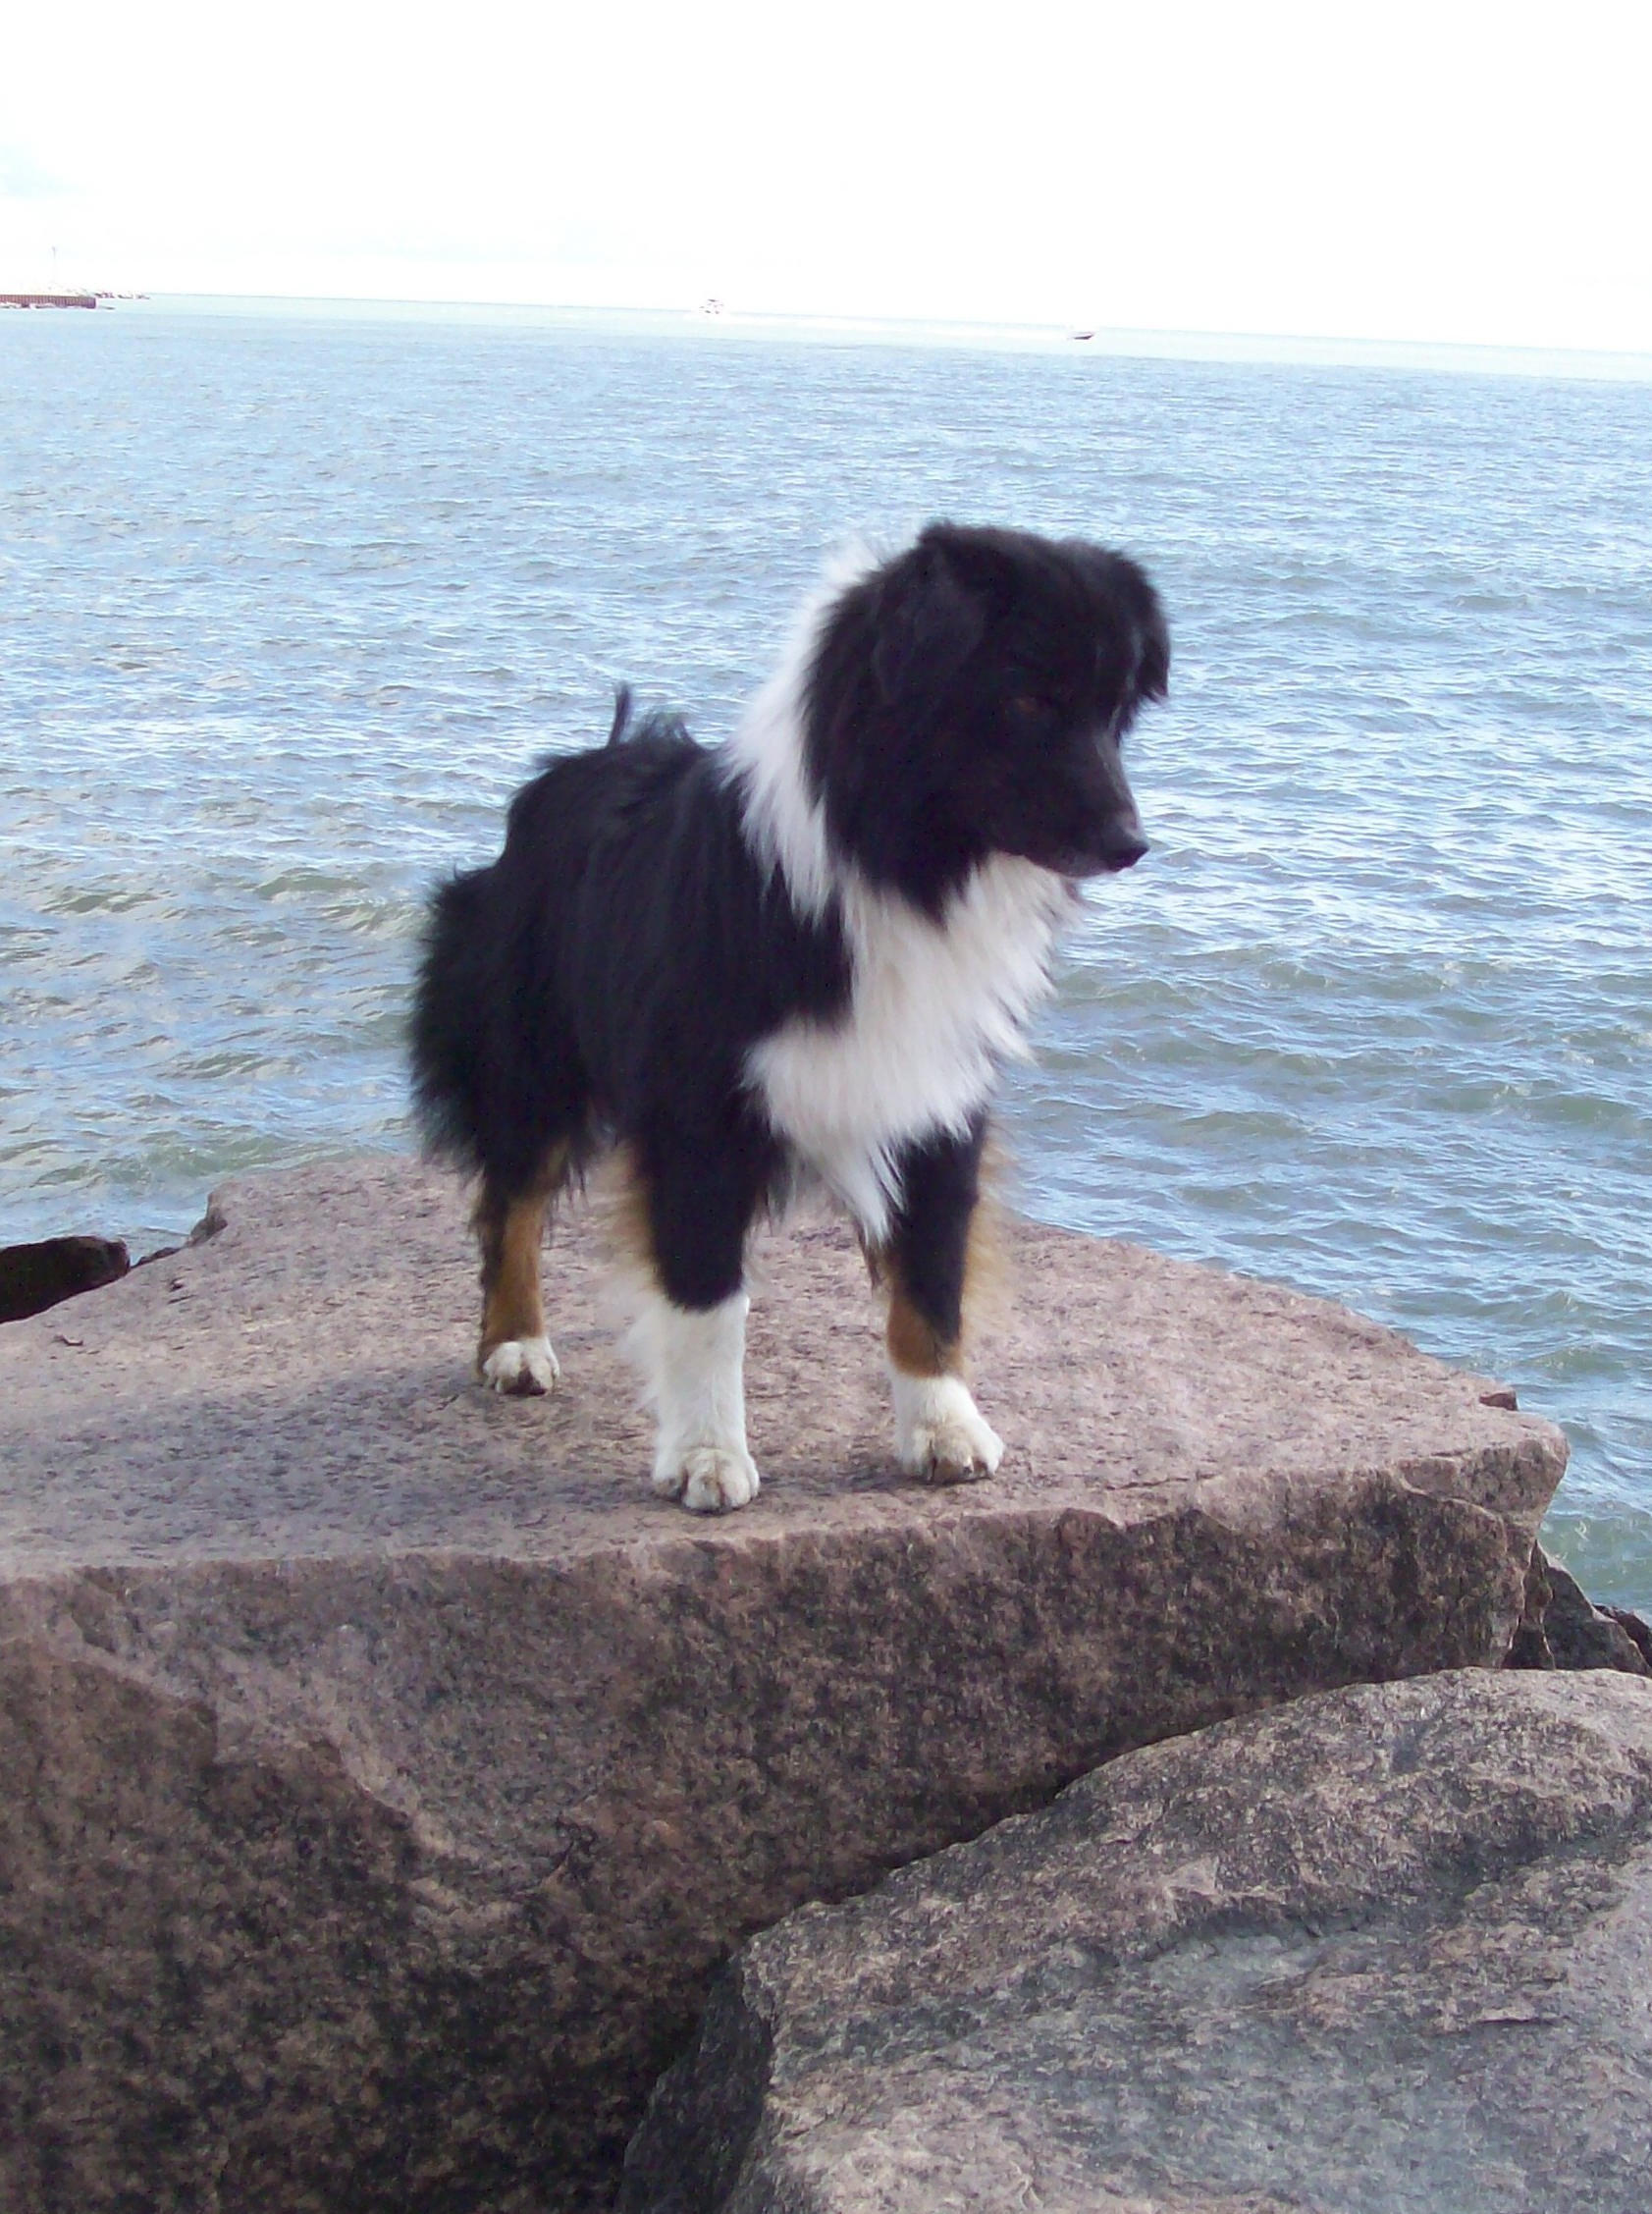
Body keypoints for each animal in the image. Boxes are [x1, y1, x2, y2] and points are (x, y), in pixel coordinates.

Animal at [411, 523, 1168, 1512]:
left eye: (1115, 713)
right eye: (1027, 699)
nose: (1129, 843)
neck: (895, 871)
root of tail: (573, 767)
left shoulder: (936, 1096)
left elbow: (932, 1278)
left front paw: (942, 1427)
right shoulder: (698, 1113)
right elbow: (705, 1297)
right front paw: (705, 1455)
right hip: (529, 1054)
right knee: (511, 1197)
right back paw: (513, 1345)